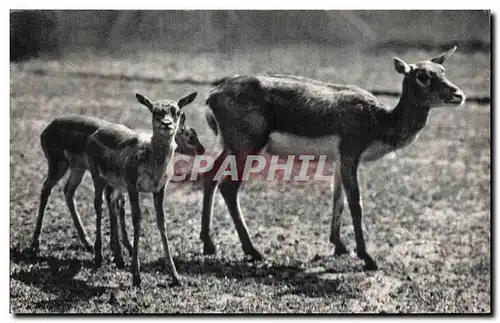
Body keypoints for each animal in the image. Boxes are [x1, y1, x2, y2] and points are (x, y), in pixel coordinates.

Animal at [201, 47, 466, 270]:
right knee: (228, 187)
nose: (458, 94)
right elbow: (356, 203)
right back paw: (253, 251)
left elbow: (338, 198)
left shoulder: (339, 160)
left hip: (229, 146)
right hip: (247, 147)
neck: (379, 121)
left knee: (209, 175)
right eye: (422, 75)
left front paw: (340, 246)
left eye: (442, 70)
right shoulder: (350, 154)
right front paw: (367, 258)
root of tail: (212, 95)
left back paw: (209, 245)